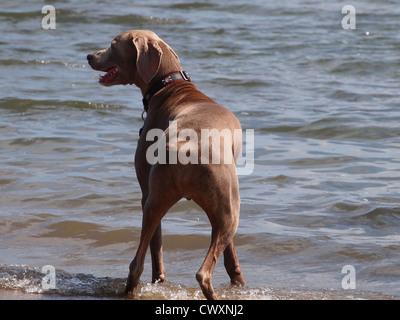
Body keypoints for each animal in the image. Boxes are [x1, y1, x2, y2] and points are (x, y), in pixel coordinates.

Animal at [86, 30, 244, 300]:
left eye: (113, 44)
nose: (89, 56)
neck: (171, 87)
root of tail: (188, 146)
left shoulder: (146, 193)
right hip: (224, 210)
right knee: (199, 272)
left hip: (162, 201)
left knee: (137, 265)